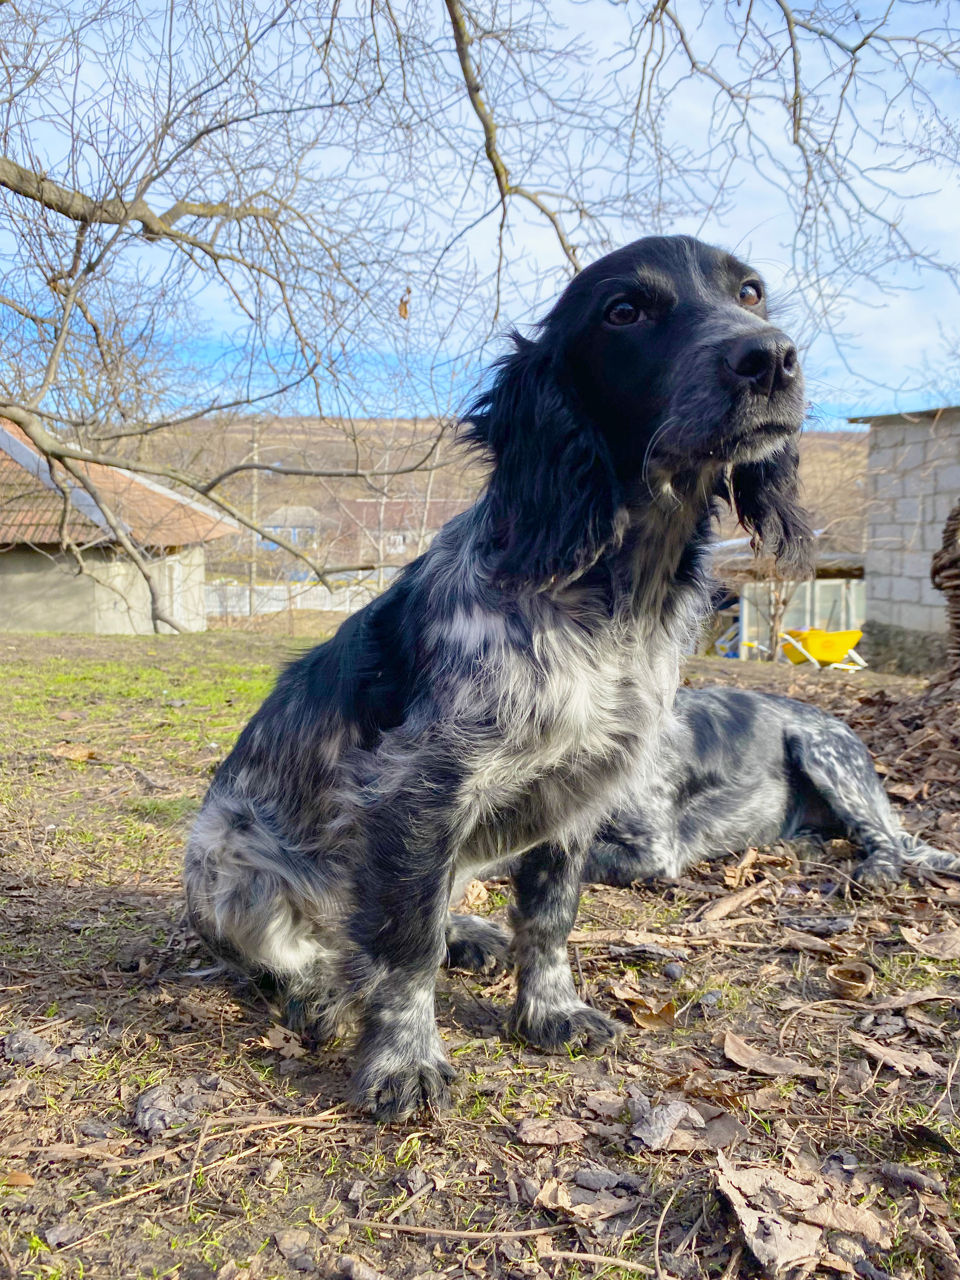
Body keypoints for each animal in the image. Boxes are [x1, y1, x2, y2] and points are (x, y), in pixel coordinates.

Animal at [181, 235, 814, 1116]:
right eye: (625, 311)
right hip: (229, 871)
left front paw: (549, 1011)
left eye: (749, 292)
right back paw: (321, 993)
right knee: (302, 952)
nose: (771, 357)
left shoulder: (583, 790)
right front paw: (403, 1060)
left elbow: (548, 921)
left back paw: (466, 936)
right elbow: (403, 950)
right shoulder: (417, 790)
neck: (611, 598)